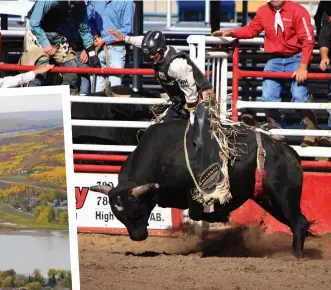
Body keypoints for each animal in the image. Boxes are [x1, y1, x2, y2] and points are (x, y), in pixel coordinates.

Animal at [91, 119, 314, 260]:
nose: (137, 237)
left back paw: (295, 256)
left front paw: (222, 216)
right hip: (268, 200)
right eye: (119, 216)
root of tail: (288, 151)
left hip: (284, 195)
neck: (163, 155)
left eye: (137, 211)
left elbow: (197, 214)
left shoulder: (194, 191)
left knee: (298, 222)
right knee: (297, 222)